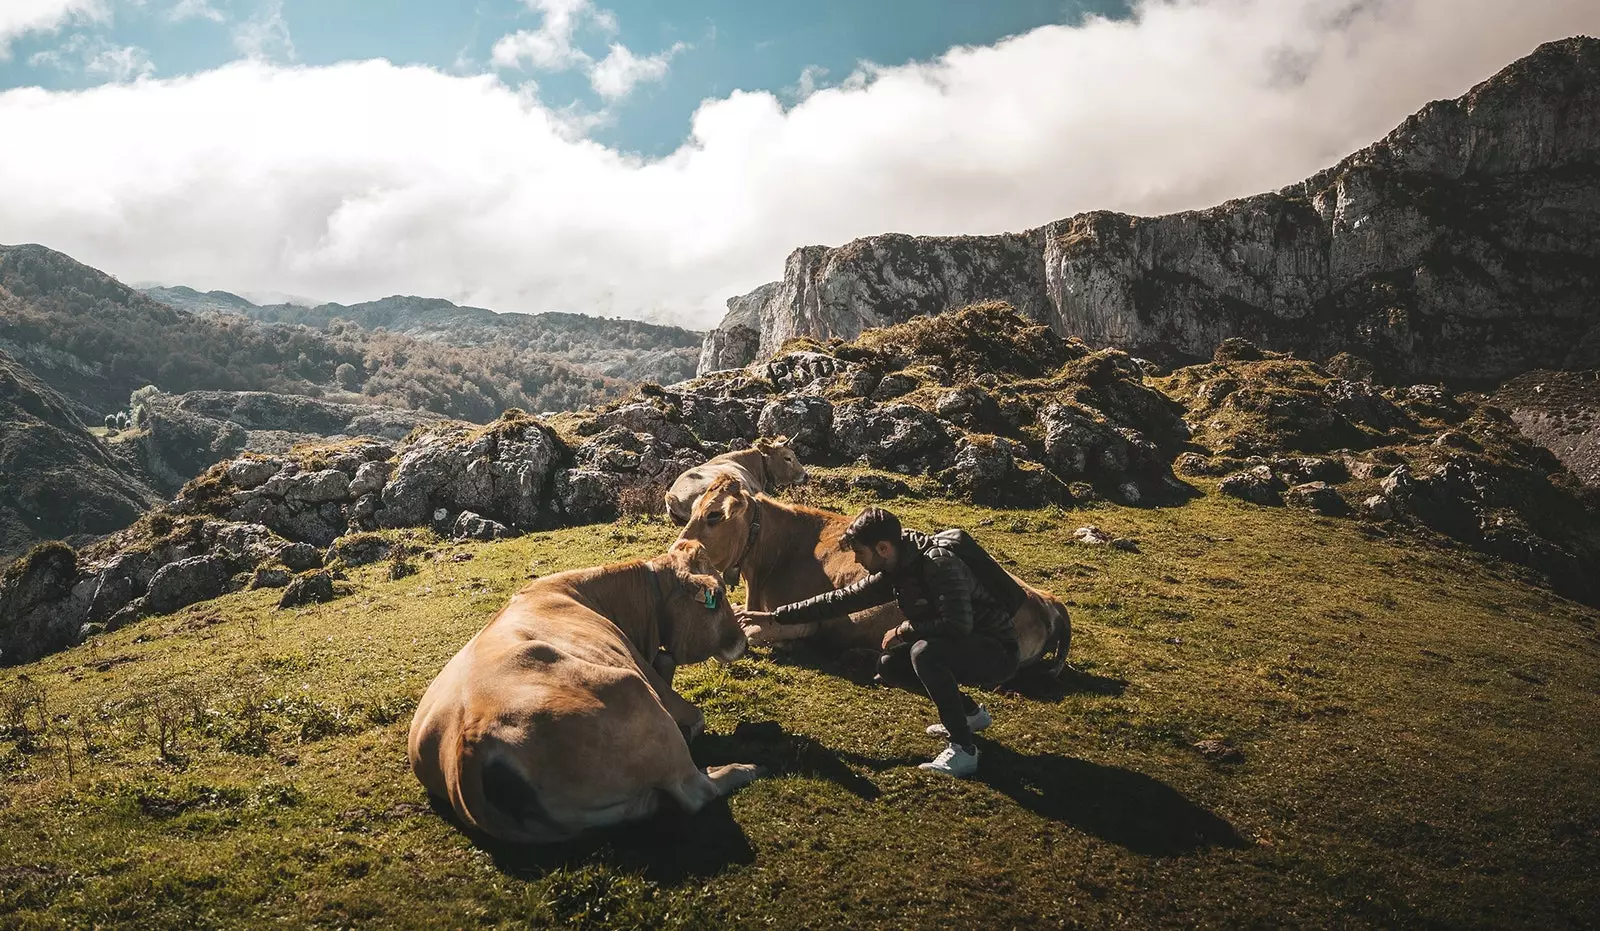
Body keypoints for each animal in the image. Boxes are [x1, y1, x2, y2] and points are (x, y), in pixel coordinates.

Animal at [409, 540, 764, 844]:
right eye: (719, 595)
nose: (743, 642)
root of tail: (472, 741)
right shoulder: (654, 681)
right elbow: (693, 712)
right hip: (631, 688)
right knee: (694, 792)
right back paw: (740, 768)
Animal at [675, 483, 1075, 678]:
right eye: (693, 509)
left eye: (714, 515)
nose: (678, 548)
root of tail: (1049, 600)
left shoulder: (811, 621)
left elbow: (758, 632)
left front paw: (783, 642)